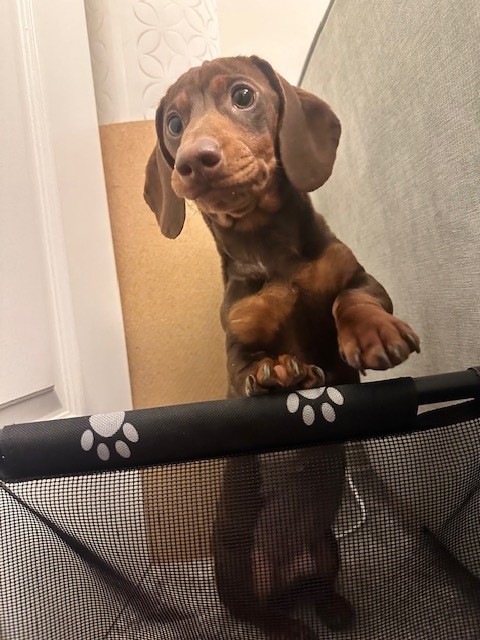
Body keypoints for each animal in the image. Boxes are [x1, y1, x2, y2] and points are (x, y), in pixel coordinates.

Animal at [143, 56, 420, 640]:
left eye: (243, 95)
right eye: (174, 124)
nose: (193, 161)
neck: (268, 249)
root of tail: (283, 576)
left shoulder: (360, 278)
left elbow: (351, 301)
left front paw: (375, 333)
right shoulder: (236, 345)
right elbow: (250, 364)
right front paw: (277, 371)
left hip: (327, 547)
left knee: (317, 585)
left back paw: (333, 609)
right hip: (236, 577)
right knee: (263, 614)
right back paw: (295, 626)